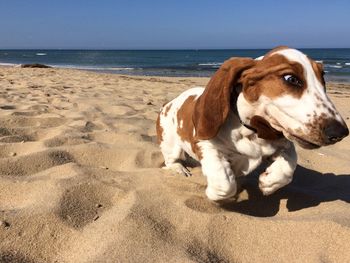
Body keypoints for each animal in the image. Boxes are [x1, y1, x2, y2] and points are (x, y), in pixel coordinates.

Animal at [157, 46, 348, 202]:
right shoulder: (205, 146)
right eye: (291, 79)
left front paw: (269, 182)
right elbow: (225, 184)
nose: (340, 133)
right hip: (170, 144)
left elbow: (290, 162)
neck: (252, 132)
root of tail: (169, 103)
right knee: (171, 160)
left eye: (323, 79)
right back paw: (179, 169)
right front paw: (213, 193)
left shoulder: (280, 143)